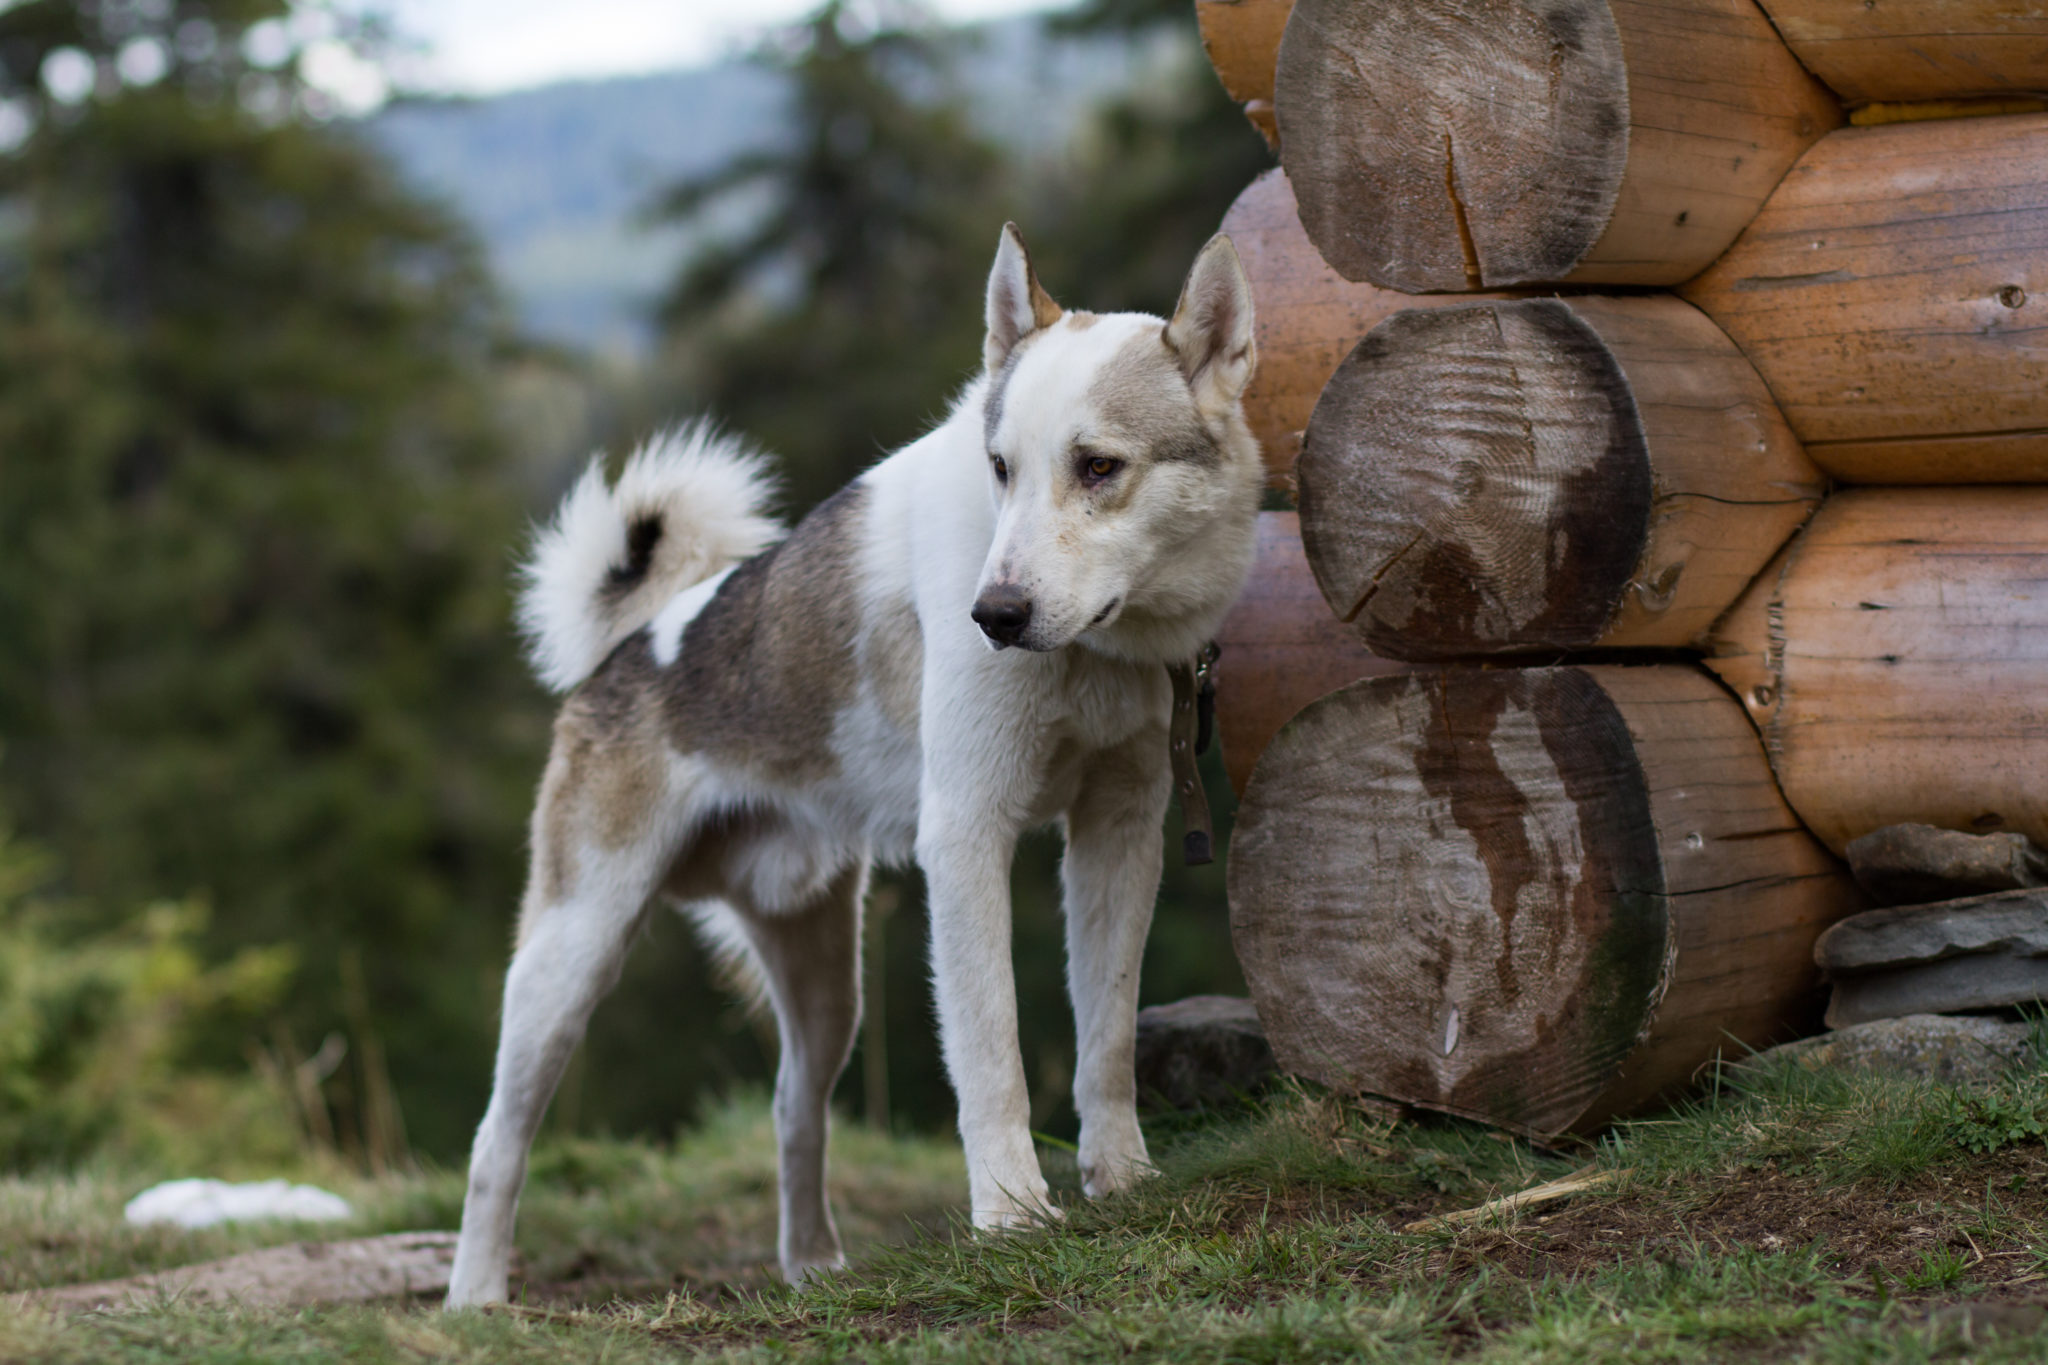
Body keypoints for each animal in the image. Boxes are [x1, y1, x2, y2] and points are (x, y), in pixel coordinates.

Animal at [448, 222, 1261, 1301]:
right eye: (1000, 467)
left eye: (1097, 467)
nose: (993, 615)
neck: (1097, 650)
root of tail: (620, 653)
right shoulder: (966, 837)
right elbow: (991, 1049)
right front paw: (1010, 1214)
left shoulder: (1119, 832)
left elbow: (1107, 1035)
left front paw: (1118, 1177)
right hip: (568, 960)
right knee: (495, 1142)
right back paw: (474, 1300)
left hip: (826, 981)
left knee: (793, 1110)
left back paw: (812, 1270)